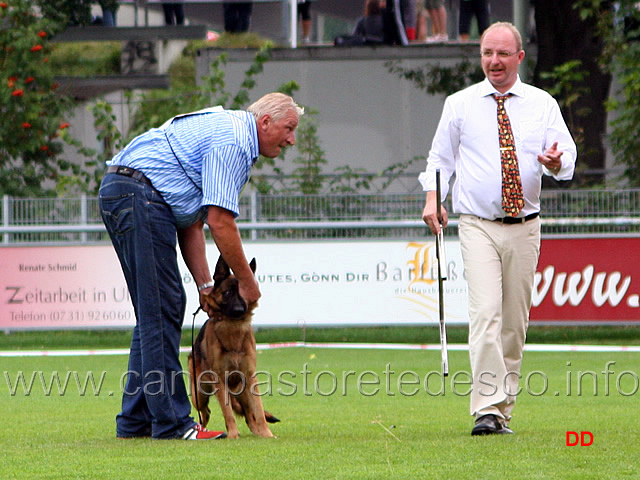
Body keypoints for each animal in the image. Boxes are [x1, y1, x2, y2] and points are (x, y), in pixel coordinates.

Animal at [188, 256, 278, 436]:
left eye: (243, 295)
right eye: (227, 293)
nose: (238, 310)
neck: (233, 328)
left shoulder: (250, 377)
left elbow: (258, 411)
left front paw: (267, 434)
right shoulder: (220, 381)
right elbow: (228, 412)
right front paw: (233, 435)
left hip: (241, 390)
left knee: (249, 415)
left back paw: (256, 432)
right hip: (199, 393)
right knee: (205, 412)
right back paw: (202, 429)